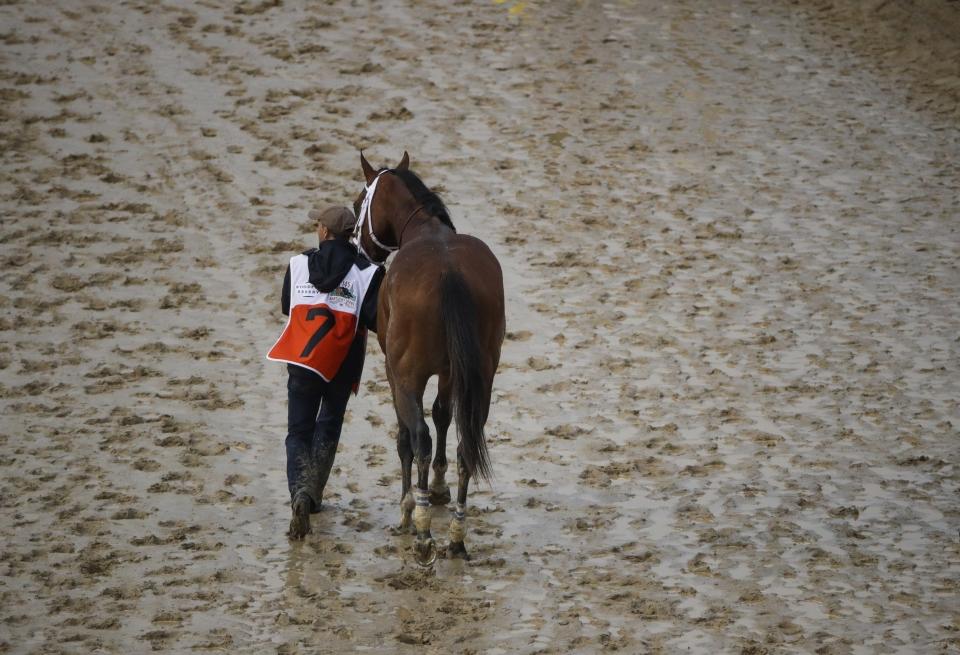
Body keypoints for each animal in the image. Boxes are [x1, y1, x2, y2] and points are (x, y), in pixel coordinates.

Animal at [350, 150, 502, 564]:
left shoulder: (395, 375)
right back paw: (456, 535)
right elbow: (443, 415)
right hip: (481, 377)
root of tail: (449, 272)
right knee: (467, 442)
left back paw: (420, 531)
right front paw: (437, 487)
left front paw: (409, 505)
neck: (427, 231)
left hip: (407, 377)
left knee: (418, 437)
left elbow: (407, 436)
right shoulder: (452, 374)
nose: (355, 246)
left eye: (357, 202)